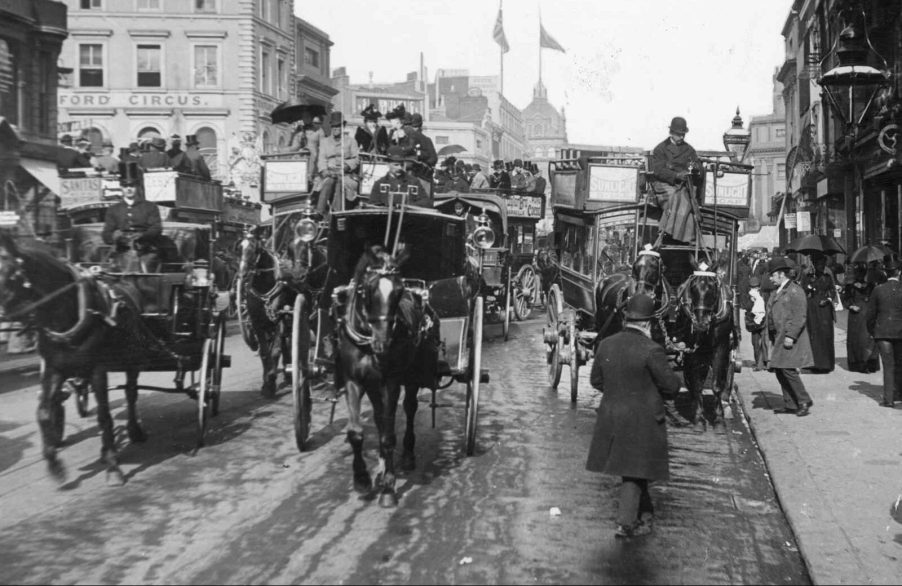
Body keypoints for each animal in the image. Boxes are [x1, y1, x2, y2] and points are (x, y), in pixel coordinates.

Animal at [0, 230, 153, 482]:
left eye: (10, 274)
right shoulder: (54, 369)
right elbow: (43, 412)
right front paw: (54, 463)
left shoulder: (98, 369)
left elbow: (104, 415)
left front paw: (113, 464)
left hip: (133, 361)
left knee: (131, 395)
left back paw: (134, 430)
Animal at [336, 244, 442, 504]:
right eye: (366, 290)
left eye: (399, 291)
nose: (382, 343)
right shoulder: (354, 381)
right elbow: (357, 432)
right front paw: (362, 479)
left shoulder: (391, 381)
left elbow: (388, 435)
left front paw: (388, 486)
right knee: (379, 417)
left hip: (412, 375)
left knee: (410, 408)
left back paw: (407, 455)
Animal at [668, 268, 740, 428]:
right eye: (693, 289)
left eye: (712, 290)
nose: (700, 324)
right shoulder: (694, 349)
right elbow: (698, 383)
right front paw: (699, 417)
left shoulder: (721, 347)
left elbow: (717, 384)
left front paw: (719, 418)